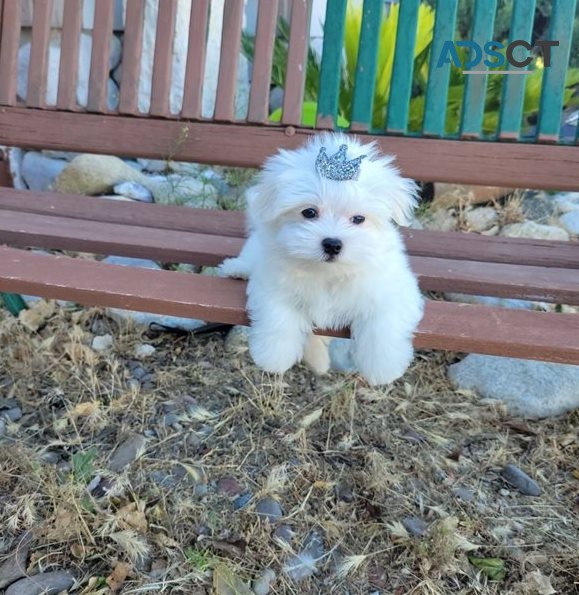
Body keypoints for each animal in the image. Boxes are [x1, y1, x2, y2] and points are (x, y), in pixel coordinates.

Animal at [220, 133, 424, 386]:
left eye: (358, 219)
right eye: (309, 212)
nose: (332, 244)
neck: (328, 272)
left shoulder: (394, 290)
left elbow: (383, 324)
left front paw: (383, 367)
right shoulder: (273, 285)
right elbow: (278, 316)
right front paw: (274, 356)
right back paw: (235, 268)